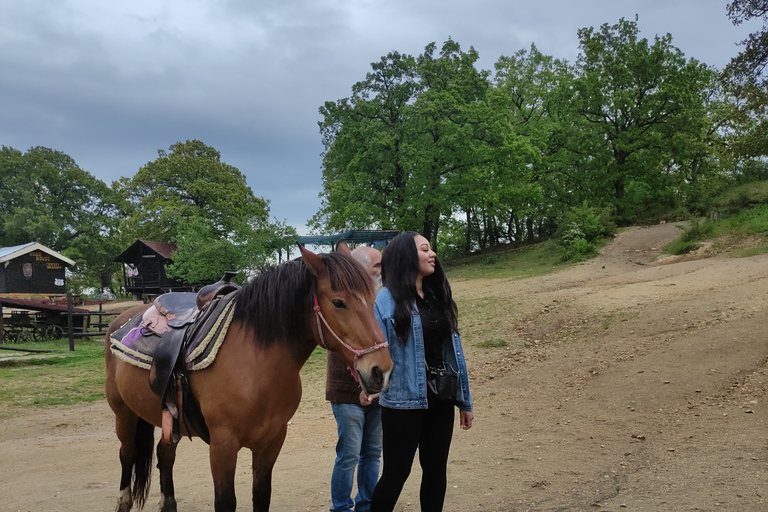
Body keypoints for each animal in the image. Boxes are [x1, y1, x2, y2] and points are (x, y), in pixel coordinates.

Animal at [105, 245, 392, 512]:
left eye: (373, 298)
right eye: (338, 302)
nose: (381, 370)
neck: (255, 366)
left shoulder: (272, 441)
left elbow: (261, 495)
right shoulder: (222, 445)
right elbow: (225, 501)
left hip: (169, 419)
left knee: (164, 455)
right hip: (124, 414)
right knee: (126, 455)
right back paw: (123, 501)